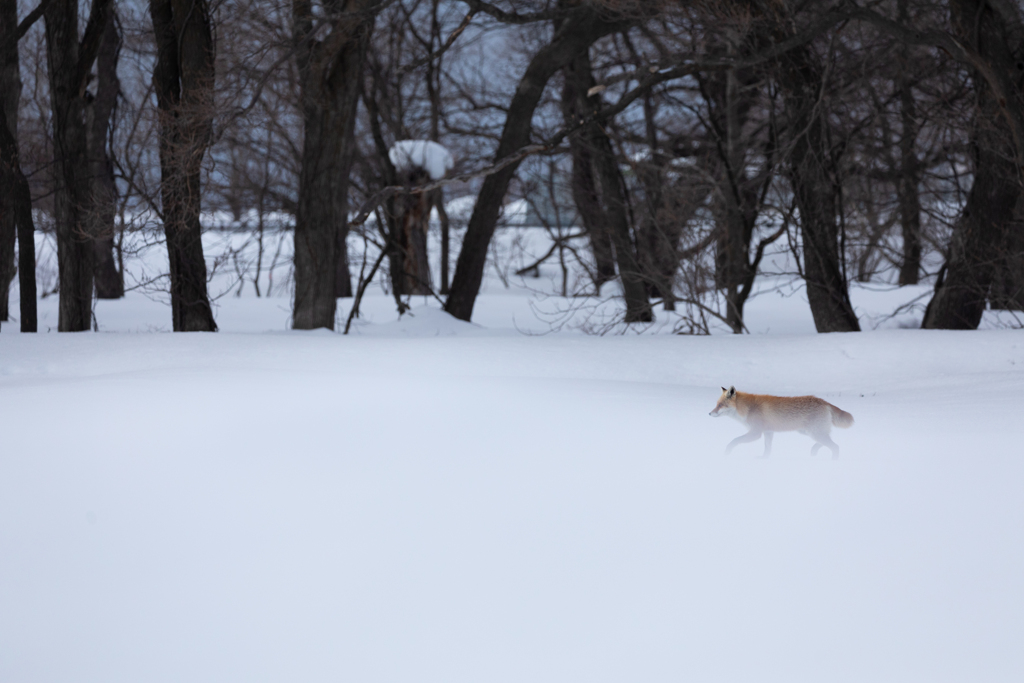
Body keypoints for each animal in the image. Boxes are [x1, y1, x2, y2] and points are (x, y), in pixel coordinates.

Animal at [708, 385, 851, 458]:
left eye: (720, 405)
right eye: (716, 404)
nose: (709, 413)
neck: (747, 408)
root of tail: (823, 401)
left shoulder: (756, 432)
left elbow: (734, 441)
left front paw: (727, 453)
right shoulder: (768, 432)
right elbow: (767, 450)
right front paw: (764, 459)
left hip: (814, 433)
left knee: (835, 446)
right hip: (809, 432)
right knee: (828, 441)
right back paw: (814, 452)